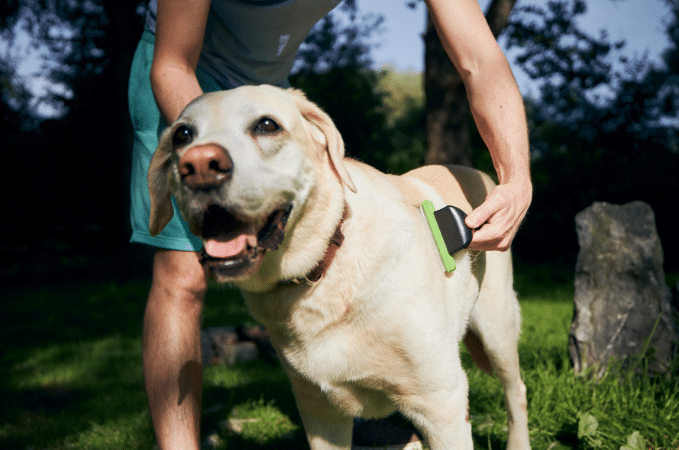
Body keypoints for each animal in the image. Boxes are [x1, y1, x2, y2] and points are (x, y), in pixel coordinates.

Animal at [147, 85, 532, 450]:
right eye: (182, 135)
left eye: (267, 125)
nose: (198, 166)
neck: (321, 272)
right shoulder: (320, 413)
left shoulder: (442, 403)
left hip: (497, 329)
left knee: (517, 391)